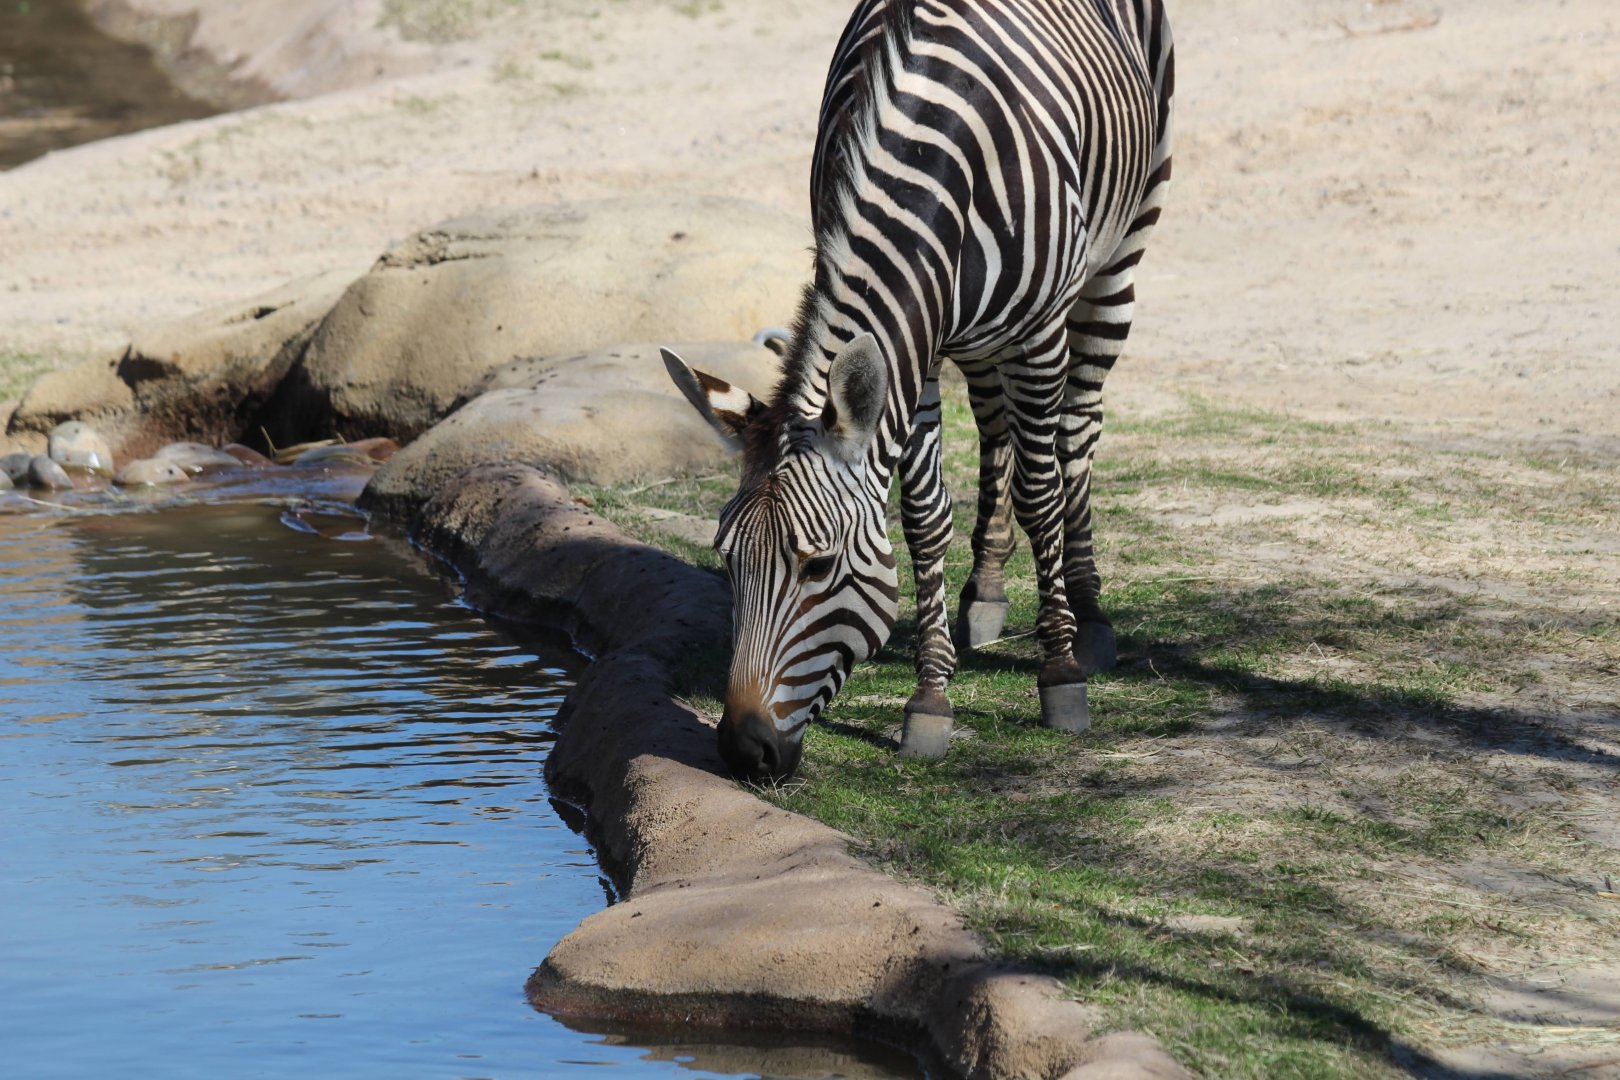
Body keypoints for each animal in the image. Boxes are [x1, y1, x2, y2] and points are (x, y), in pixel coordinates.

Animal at [663, 0, 1175, 780]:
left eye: (818, 565)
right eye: (726, 561)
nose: (744, 752)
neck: (928, 167)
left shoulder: (1038, 329)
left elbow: (1042, 494)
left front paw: (1059, 676)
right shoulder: (918, 346)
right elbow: (926, 516)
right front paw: (931, 699)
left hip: (1124, 243)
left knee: (1076, 433)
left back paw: (1087, 615)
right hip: (979, 336)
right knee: (996, 427)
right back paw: (986, 590)